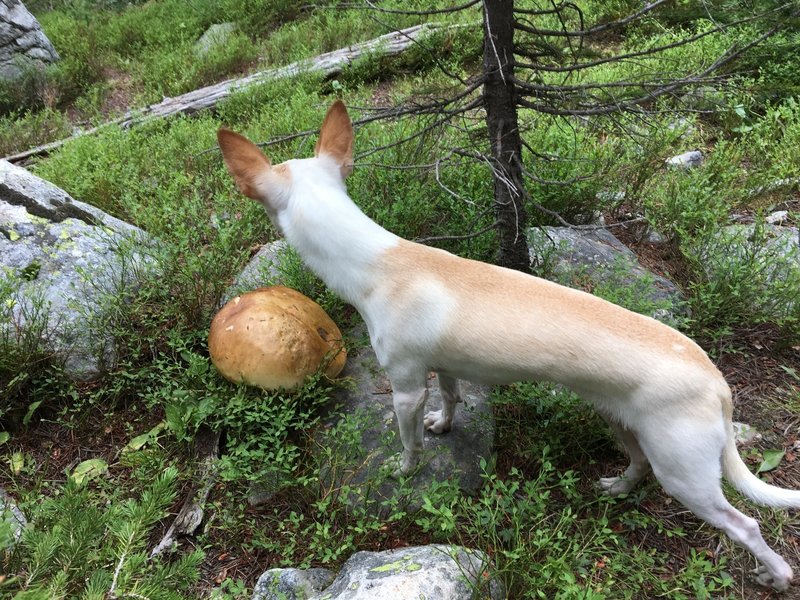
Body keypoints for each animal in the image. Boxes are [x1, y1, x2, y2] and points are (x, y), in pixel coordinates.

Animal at [219, 101, 800, 588]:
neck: (375, 260)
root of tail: (716, 380)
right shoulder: (442, 366)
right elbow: (451, 398)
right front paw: (445, 425)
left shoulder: (405, 388)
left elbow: (408, 441)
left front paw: (405, 470)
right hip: (625, 425)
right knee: (638, 466)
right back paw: (616, 488)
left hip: (687, 475)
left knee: (745, 524)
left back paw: (774, 574)